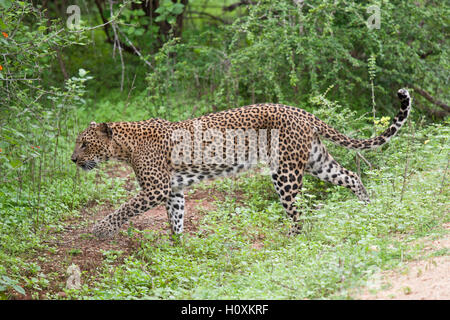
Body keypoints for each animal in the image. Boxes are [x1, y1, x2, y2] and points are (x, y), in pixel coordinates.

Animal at [70, 89, 412, 239]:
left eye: (84, 143)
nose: (73, 159)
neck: (124, 146)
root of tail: (301, 111)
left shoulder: (155, 188)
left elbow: (124, 208)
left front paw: (101, 228)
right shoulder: (173, 190)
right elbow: (175, 218)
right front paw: (177, 246)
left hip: (285, 172)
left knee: (297, 210)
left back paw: (294, 238)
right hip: (316, 161)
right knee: (351, 175)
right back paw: (367, 208)